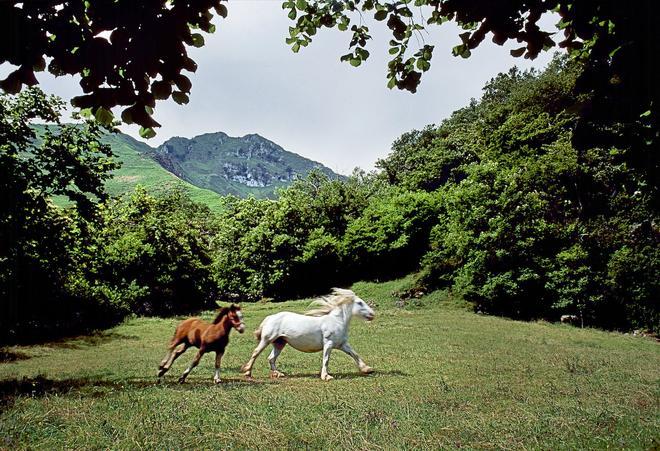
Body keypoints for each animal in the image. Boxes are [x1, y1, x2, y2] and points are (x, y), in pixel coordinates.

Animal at [242, 290, 376, 382]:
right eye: (359, 303)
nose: (372, 314)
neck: (337, 321)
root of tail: (270, 317)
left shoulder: (342, 344)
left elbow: (354, 354)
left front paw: (367, 369)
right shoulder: (328, 344)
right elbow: (326, 360)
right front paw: (326, 376)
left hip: (280, 343)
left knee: (271, 358)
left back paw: (278, 374)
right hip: (267, 339)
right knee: (256, 353)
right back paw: (247, 373)